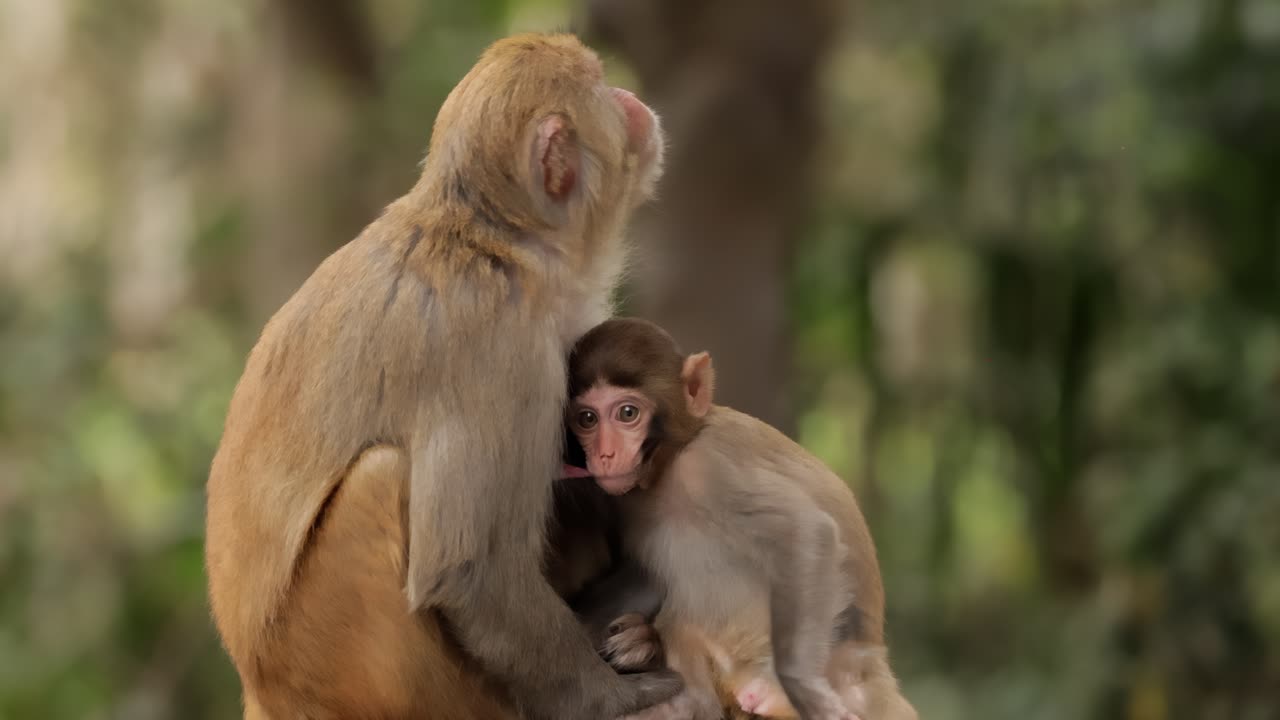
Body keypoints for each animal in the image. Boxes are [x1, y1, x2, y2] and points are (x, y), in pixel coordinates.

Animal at [204, 33, 683, 720]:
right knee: (381, 477)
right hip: (331, 654)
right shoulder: (498, 346)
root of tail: (261, 687)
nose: (628, 95)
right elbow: (472, 572)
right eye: (598, 83)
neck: (501, 242)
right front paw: (609, 698)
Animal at [562, 318, 920, 720]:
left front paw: (806, 688)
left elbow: (805, 533)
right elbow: (643, 575)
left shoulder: (709, 467)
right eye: (587, 419)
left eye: (627, 413)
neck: (669, 463)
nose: (605, 455)